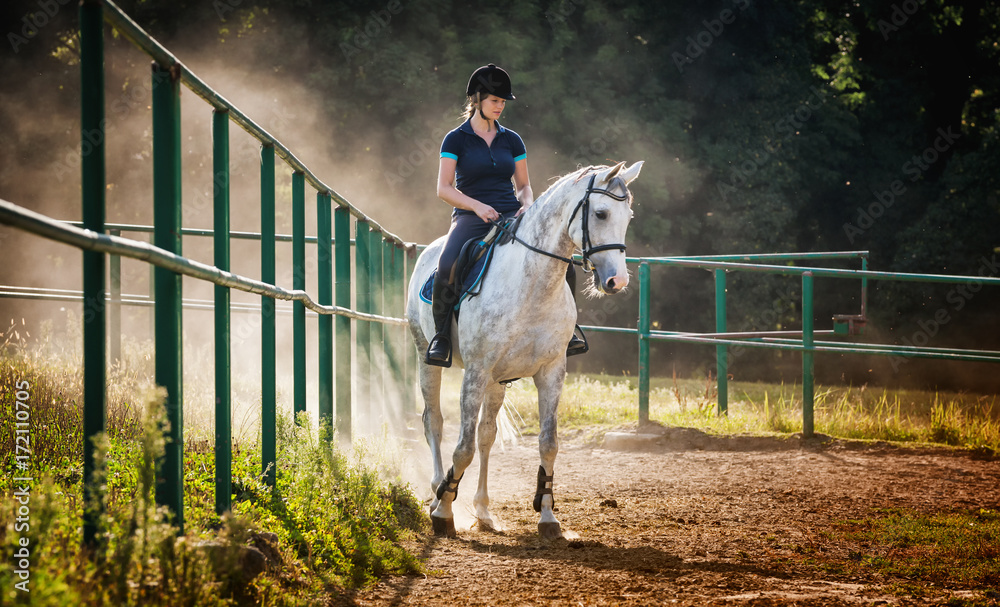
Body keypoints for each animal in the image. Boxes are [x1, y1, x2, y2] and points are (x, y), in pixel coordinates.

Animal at [404, 160, 640, 536]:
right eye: (601, 213)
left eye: (628, 216)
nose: (617, 281)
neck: (532, 287)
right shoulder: (476, 371)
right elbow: (462, 448)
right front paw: (443, 510)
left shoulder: (552, 372)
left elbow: (548, 444)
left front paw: (548, 516)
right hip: (427, 358)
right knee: (434, 422)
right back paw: (436, 490)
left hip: (497, 381)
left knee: (486, 435)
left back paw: (483, 511)